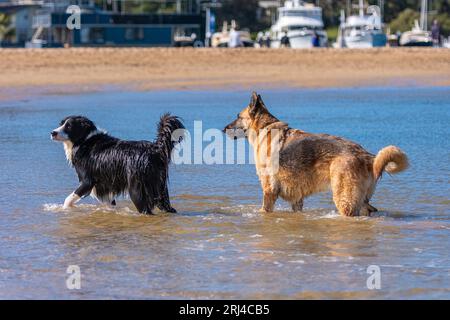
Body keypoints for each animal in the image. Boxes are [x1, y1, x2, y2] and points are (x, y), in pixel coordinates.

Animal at [223, 92, 410, 218]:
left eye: (238, 117)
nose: (224, 129)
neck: (265, 128)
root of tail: (367, 156)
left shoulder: (269, 190)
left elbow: (265, 210)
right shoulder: (296, 198)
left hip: (344, 199)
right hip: (360, 200)